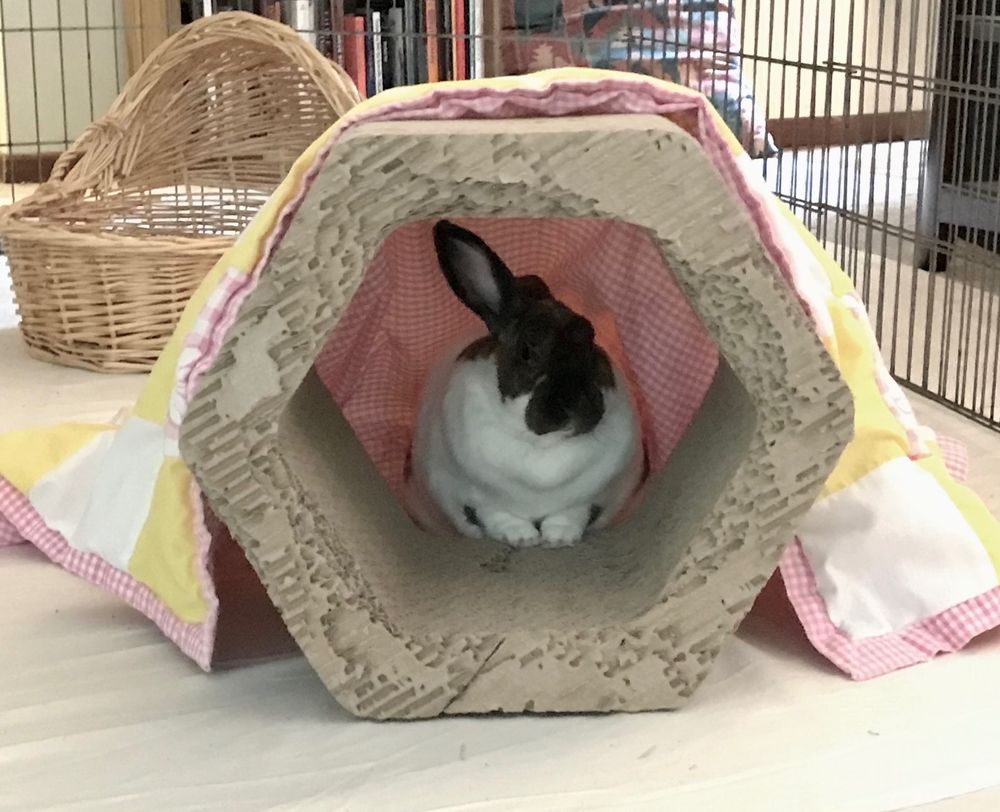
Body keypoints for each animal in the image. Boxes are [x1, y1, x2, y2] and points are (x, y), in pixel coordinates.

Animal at [406, 220, 644, 548]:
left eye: (589, 337)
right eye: (526, 351)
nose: (574, 403)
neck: (542, 446)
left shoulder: (588, 501)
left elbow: (571, 514)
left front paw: (559, 538)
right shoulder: (473, 498)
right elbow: (497, 515)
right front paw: (521, 538)